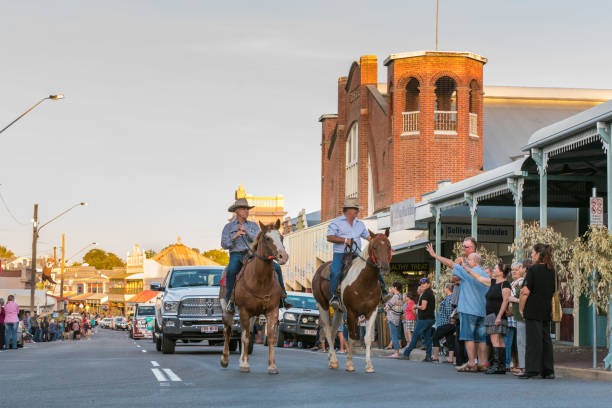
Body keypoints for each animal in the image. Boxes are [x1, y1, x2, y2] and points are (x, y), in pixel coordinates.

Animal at [219, 218, 288, 374]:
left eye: (281, 237)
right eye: (267, 238)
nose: (283, 256)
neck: (260, 280)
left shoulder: (272, 311)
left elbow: (270, 337)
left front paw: (272, 366)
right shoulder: (244, 311)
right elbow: (244, 338)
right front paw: (245, 365)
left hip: (252, 316)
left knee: (245, 333)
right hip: (227, 310)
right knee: (227, 331)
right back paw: (225, 360)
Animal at [310, 230, 392, 372]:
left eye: (388, 246)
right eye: (375, 247)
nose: (384, 267)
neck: (365, 282)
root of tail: (320, 268)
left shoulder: (372, 311)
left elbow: (367, 339)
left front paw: (369, 365)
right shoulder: (351, 312)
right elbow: (352, 337)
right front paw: (349, 364)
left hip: (338, 311)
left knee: (333, 331)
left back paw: (331, 359)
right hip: (323, 306)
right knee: (327, 331)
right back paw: (333, 360)